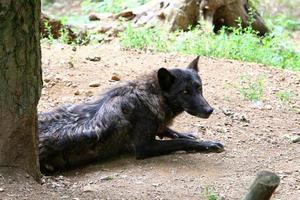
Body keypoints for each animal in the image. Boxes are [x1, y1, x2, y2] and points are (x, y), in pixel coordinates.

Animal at [38, 57, 224, 173]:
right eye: (185, 92)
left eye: (199, 88)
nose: (209, 110)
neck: (145, 97)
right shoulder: (144, 147)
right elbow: (180, 142)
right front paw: (205, 144)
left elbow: (169, 131)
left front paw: (189, 135)